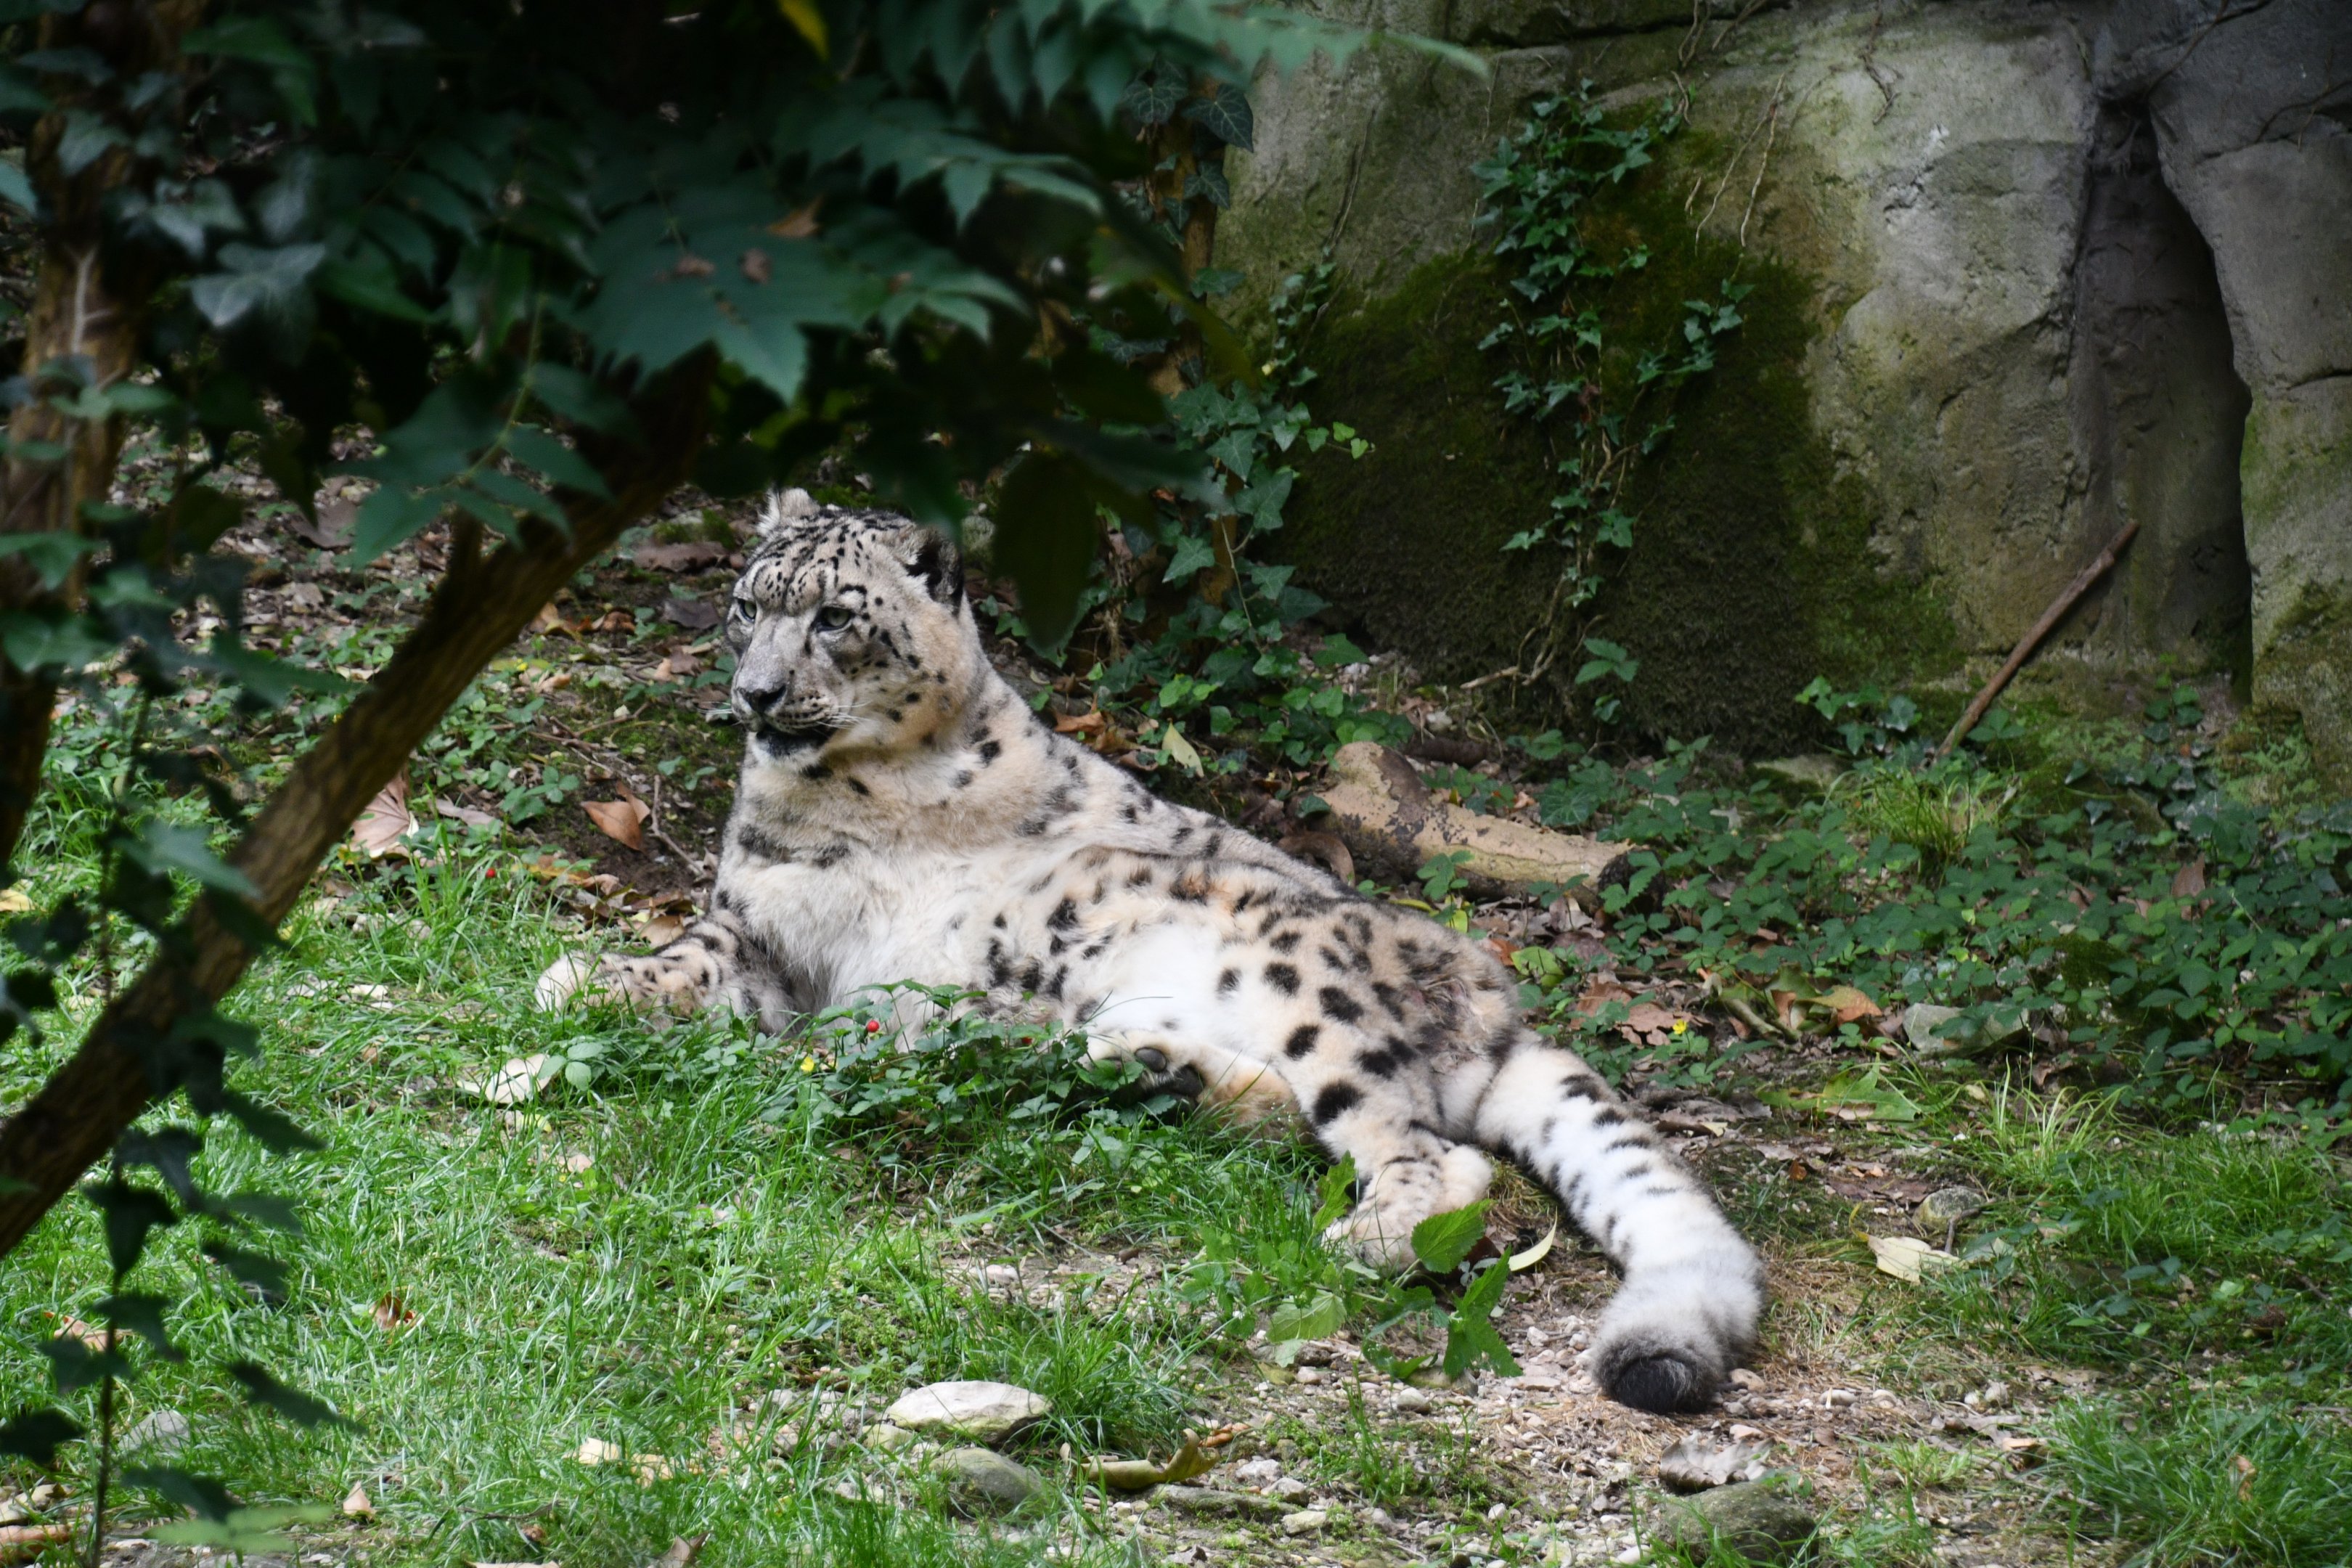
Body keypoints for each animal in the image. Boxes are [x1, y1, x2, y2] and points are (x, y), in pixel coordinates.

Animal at [536, 489, 1765, 1413]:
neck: (851, 792)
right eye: (747, 606)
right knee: (1280, 1109)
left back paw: (1365, 1237)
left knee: (1427, 1149)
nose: (758, 694)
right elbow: (681, 961)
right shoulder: (763, 931)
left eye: (837, 616)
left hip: (1305, 979)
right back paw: (1135, 1066)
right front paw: (582, 979)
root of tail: (1494, 1001)